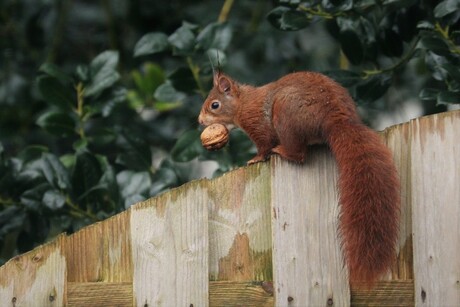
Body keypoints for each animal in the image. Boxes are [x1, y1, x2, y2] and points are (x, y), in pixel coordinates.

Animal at [198, 71, 398, 288]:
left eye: (214, 105)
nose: (199, 121)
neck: (243, 102)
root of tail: (337, 119)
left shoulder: (258, 125)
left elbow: (264, 145)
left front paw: (256, 158)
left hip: (285, 114)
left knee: (298, 154)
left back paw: (282, 151)